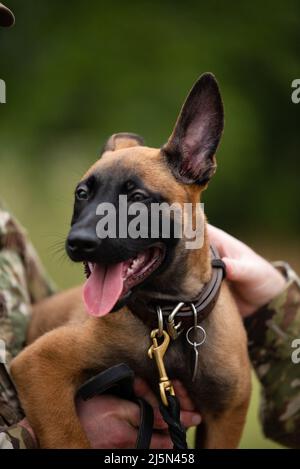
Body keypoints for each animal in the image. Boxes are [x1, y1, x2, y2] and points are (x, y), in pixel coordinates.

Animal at [10, 72, 252, 446]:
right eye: (82, 194)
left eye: (137, 197)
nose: (78, 243)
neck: (168, 319)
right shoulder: (39, 365)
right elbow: (70, 436)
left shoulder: (226, 414)